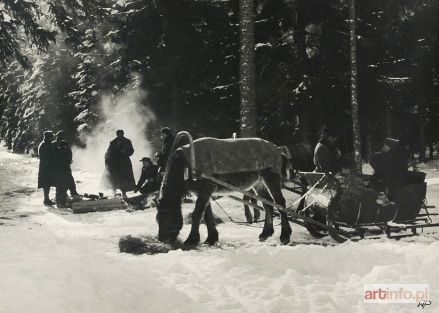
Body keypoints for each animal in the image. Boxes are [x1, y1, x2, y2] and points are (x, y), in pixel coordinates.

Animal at [156, 135, 292, 245]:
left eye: (166, 217)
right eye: (157, 218)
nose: (162, 239)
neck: (186, 166)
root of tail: (278, 150)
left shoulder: (205, 190)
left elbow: (197, 215)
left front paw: (191, 239)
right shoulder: (203, 193)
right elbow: (207, 215)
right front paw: (211, 238)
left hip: (271, 179)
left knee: (280, 203)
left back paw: (285, 235)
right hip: (258, 183)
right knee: (268, 204)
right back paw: (265, 233)